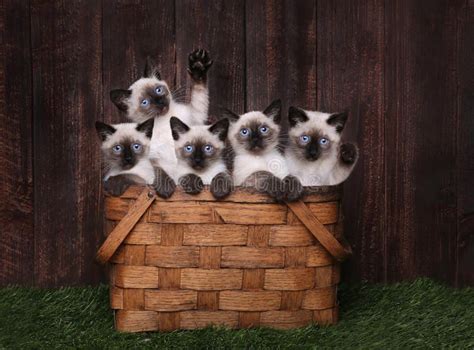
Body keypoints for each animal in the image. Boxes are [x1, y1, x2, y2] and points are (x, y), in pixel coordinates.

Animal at [109, 49, 213, 178]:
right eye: (145, 102)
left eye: (158, 90)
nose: (160, 102)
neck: (163, 120)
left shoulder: (196, 118)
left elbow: (198, 92)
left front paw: (198, 65)